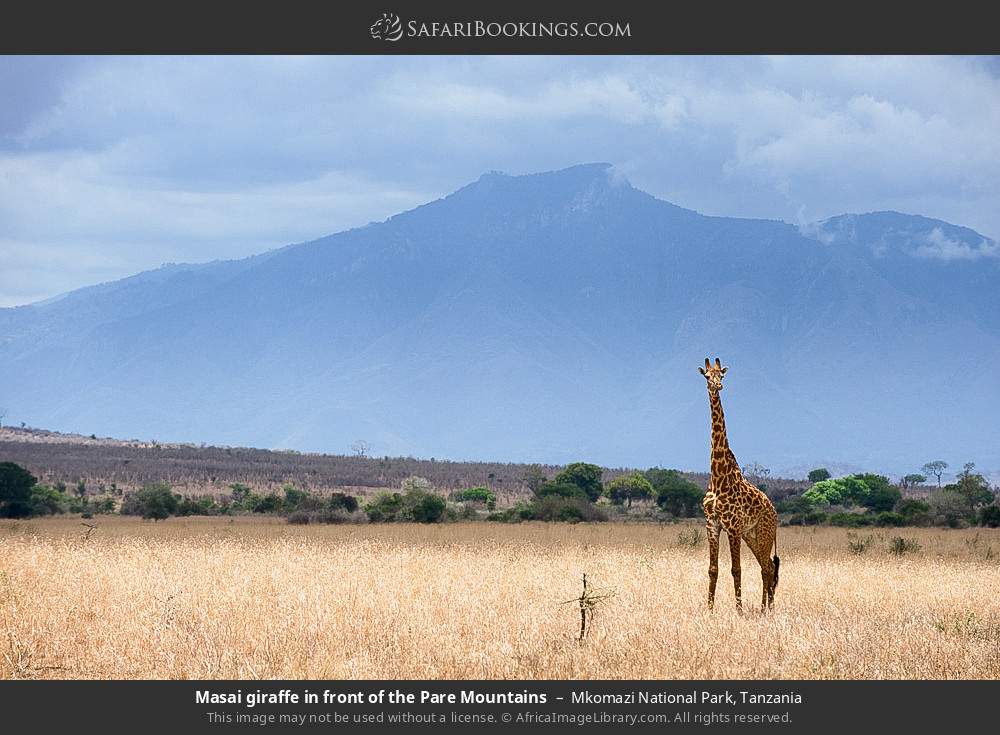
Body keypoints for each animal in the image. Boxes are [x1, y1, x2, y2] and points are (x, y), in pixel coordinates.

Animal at [698, 357, 779, 612]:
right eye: (707, 376)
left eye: (722, 375)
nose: (717, 387)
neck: (718, 476)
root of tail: (774, 511)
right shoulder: (712, 525)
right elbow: (713, 570)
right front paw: (709, 609)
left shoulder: (732, 527)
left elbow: (736, 569)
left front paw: (739, 611)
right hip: (751, 535)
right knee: (768, 567)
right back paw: (766, 608)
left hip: (764, 532)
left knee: (768, 568)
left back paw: (766, 609)